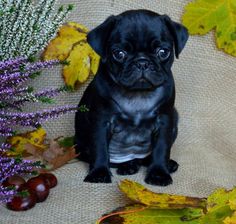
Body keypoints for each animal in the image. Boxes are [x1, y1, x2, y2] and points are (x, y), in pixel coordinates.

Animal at [74, 9, 189, 186]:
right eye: (119, 54)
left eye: (163, 52)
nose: (142, 62)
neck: (138, 95)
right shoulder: (101, 121)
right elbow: (100, 148)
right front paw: (98, 173)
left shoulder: (165, 120)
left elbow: (161, 149)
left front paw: (159, 173)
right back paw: (128, 166)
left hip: (175, 120)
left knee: (145, 159)